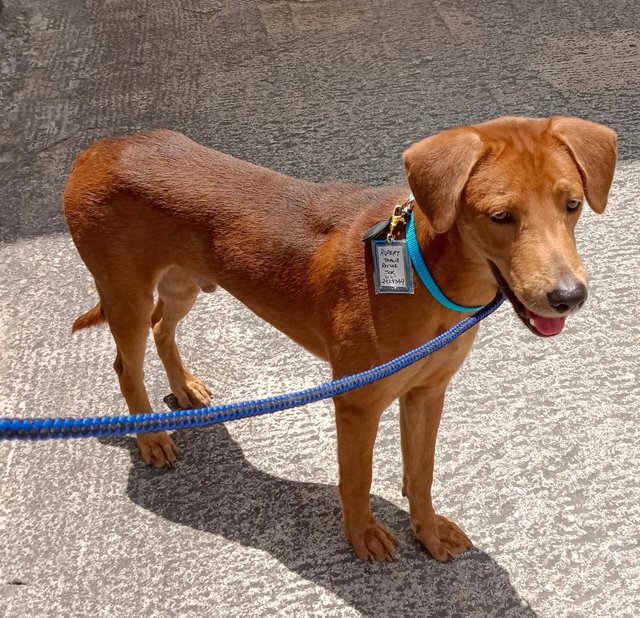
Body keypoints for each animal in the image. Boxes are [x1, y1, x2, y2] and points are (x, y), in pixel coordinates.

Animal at [63, 115, 616, 560]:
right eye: (501, 217)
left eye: (572, 205)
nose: (569, 296)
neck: (426, 272)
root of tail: (97, 149)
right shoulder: (357, 403)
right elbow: (357, 479)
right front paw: (362, 535)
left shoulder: (427, 392)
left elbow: (421, 473)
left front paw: (428, 532)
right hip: (126, 295)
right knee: (126, 365)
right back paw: (151, 436)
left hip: (182, 282)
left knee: (163, 328)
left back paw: (184, 388)